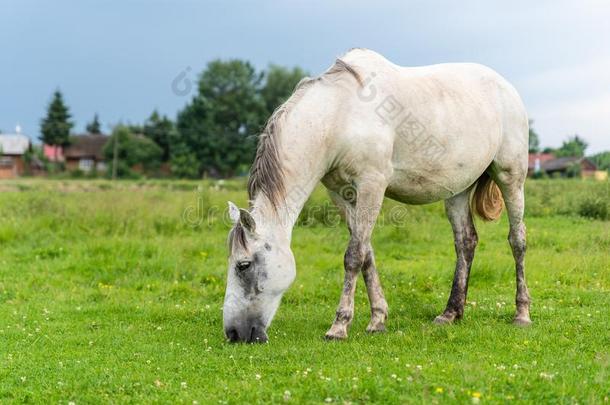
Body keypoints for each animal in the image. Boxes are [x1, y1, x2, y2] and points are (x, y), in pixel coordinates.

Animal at [221, 49, 528, 342]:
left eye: (243, 265)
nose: (234, 333)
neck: (339, 116)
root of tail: (507, 87)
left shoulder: (371, 185)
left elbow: (354, 255)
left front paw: (339, 326)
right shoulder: (341, 194)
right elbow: (366, 252)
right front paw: (378, 320)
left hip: (510, 177)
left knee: (517, 240)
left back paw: (522, 314)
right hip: (458, 191)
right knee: (465, 242)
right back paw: (451, 313)